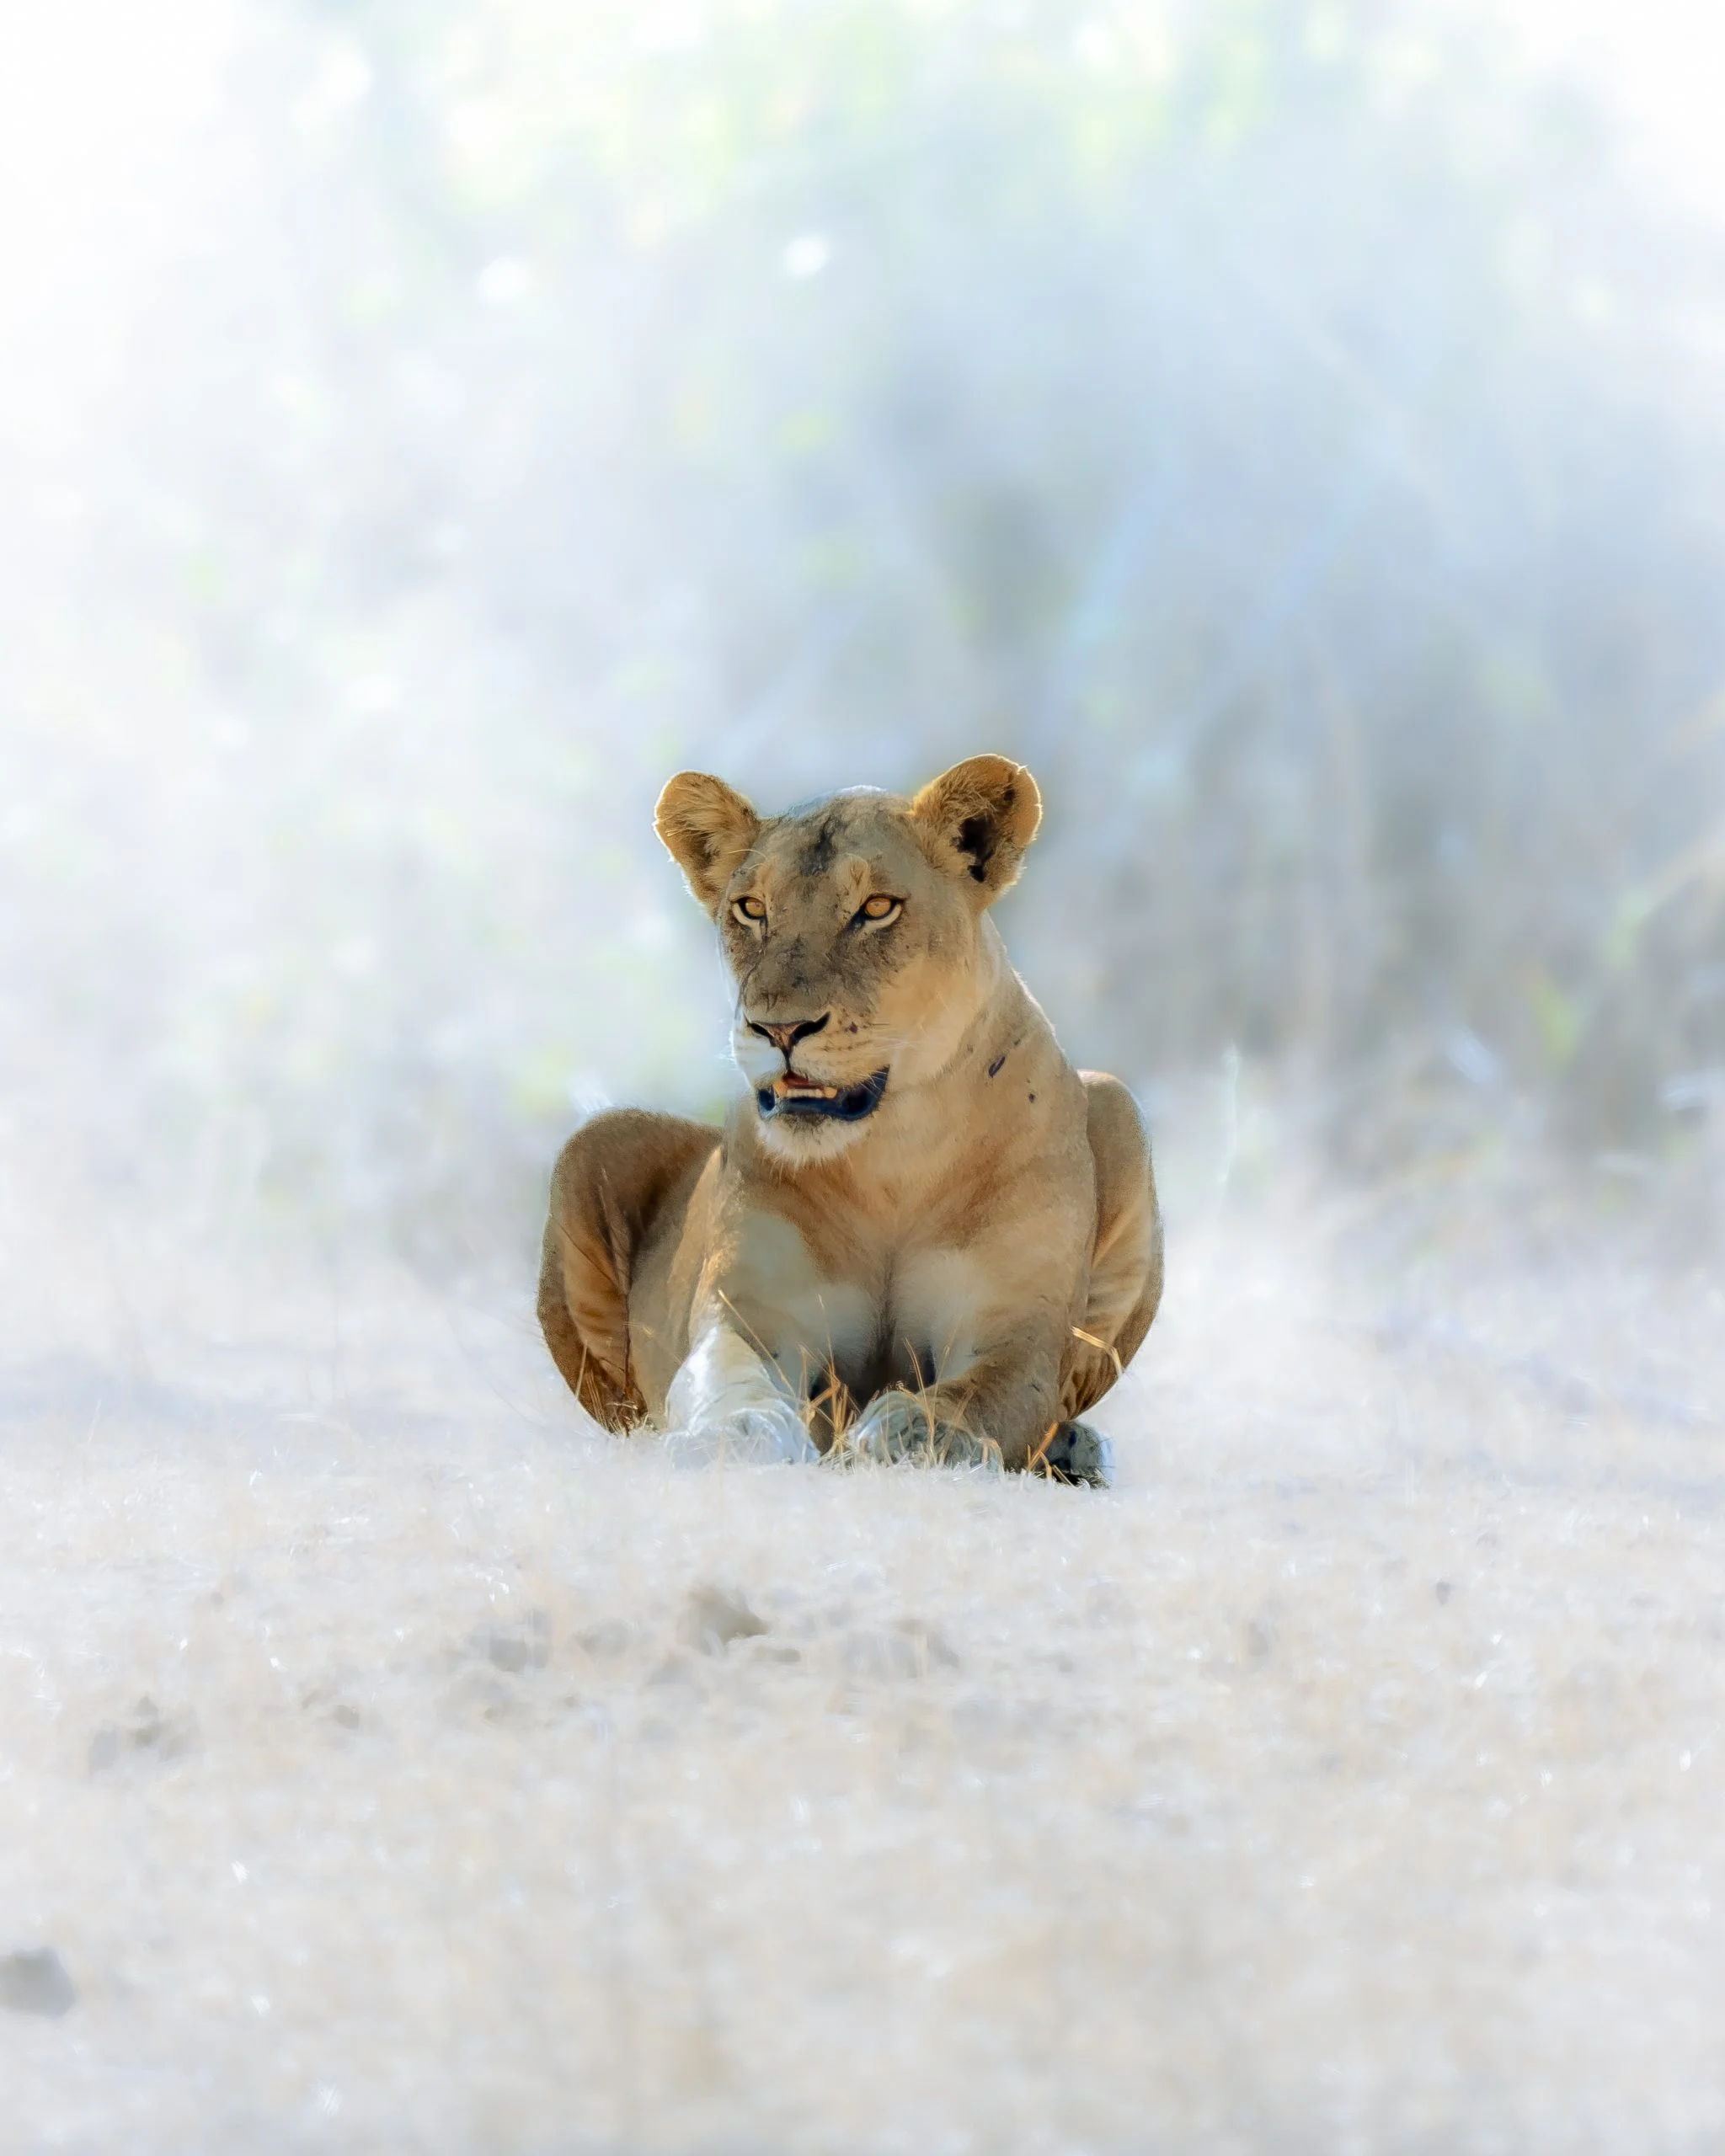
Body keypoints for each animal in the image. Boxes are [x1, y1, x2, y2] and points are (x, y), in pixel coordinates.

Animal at [537, 755, 1162, 1483]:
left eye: (876, 909)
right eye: (752, 909)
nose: (779, 1028)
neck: (889, 1153)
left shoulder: (1015, 1331)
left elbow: (975, 1397)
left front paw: (906, 1433)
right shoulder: (751, 1315)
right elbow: (731, 1381)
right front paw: (735, 1434)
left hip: (1119, 1106)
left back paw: (1075, 1451)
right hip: (595, 1140)